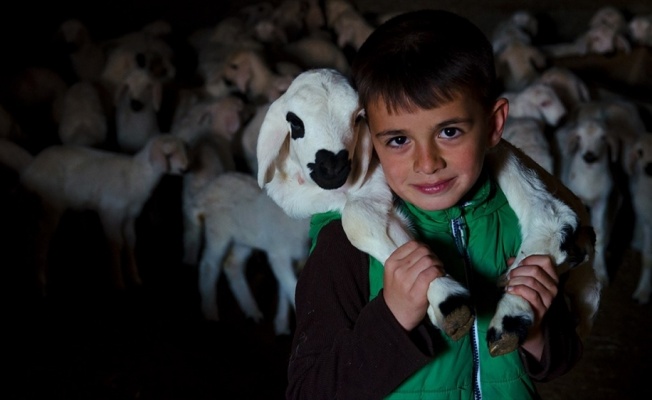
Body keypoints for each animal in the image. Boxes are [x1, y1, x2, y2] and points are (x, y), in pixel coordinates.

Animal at [0, 134, 188, 294]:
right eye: (169, 154)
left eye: (183, 150)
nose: (186, 169)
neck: (137, 175)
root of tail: (31, 167)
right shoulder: (110, 212)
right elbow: (115, 244)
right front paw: (118, 281)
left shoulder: (129, 216)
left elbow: (130, 242)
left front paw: (135, 277)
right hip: (50, 203)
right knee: (41, 238)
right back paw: (40, 281)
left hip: (35, 205)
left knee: (32, 234)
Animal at [190, 170, 310, 336]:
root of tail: (206, 190)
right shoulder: (278, 252)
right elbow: (291, 286)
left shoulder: (291, 256)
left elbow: (285, 287)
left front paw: (281, 327)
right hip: (218, 231)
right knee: (208, 265)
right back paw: (210, 314)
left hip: (244, 239)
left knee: (232, 264)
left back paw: (252, 312)